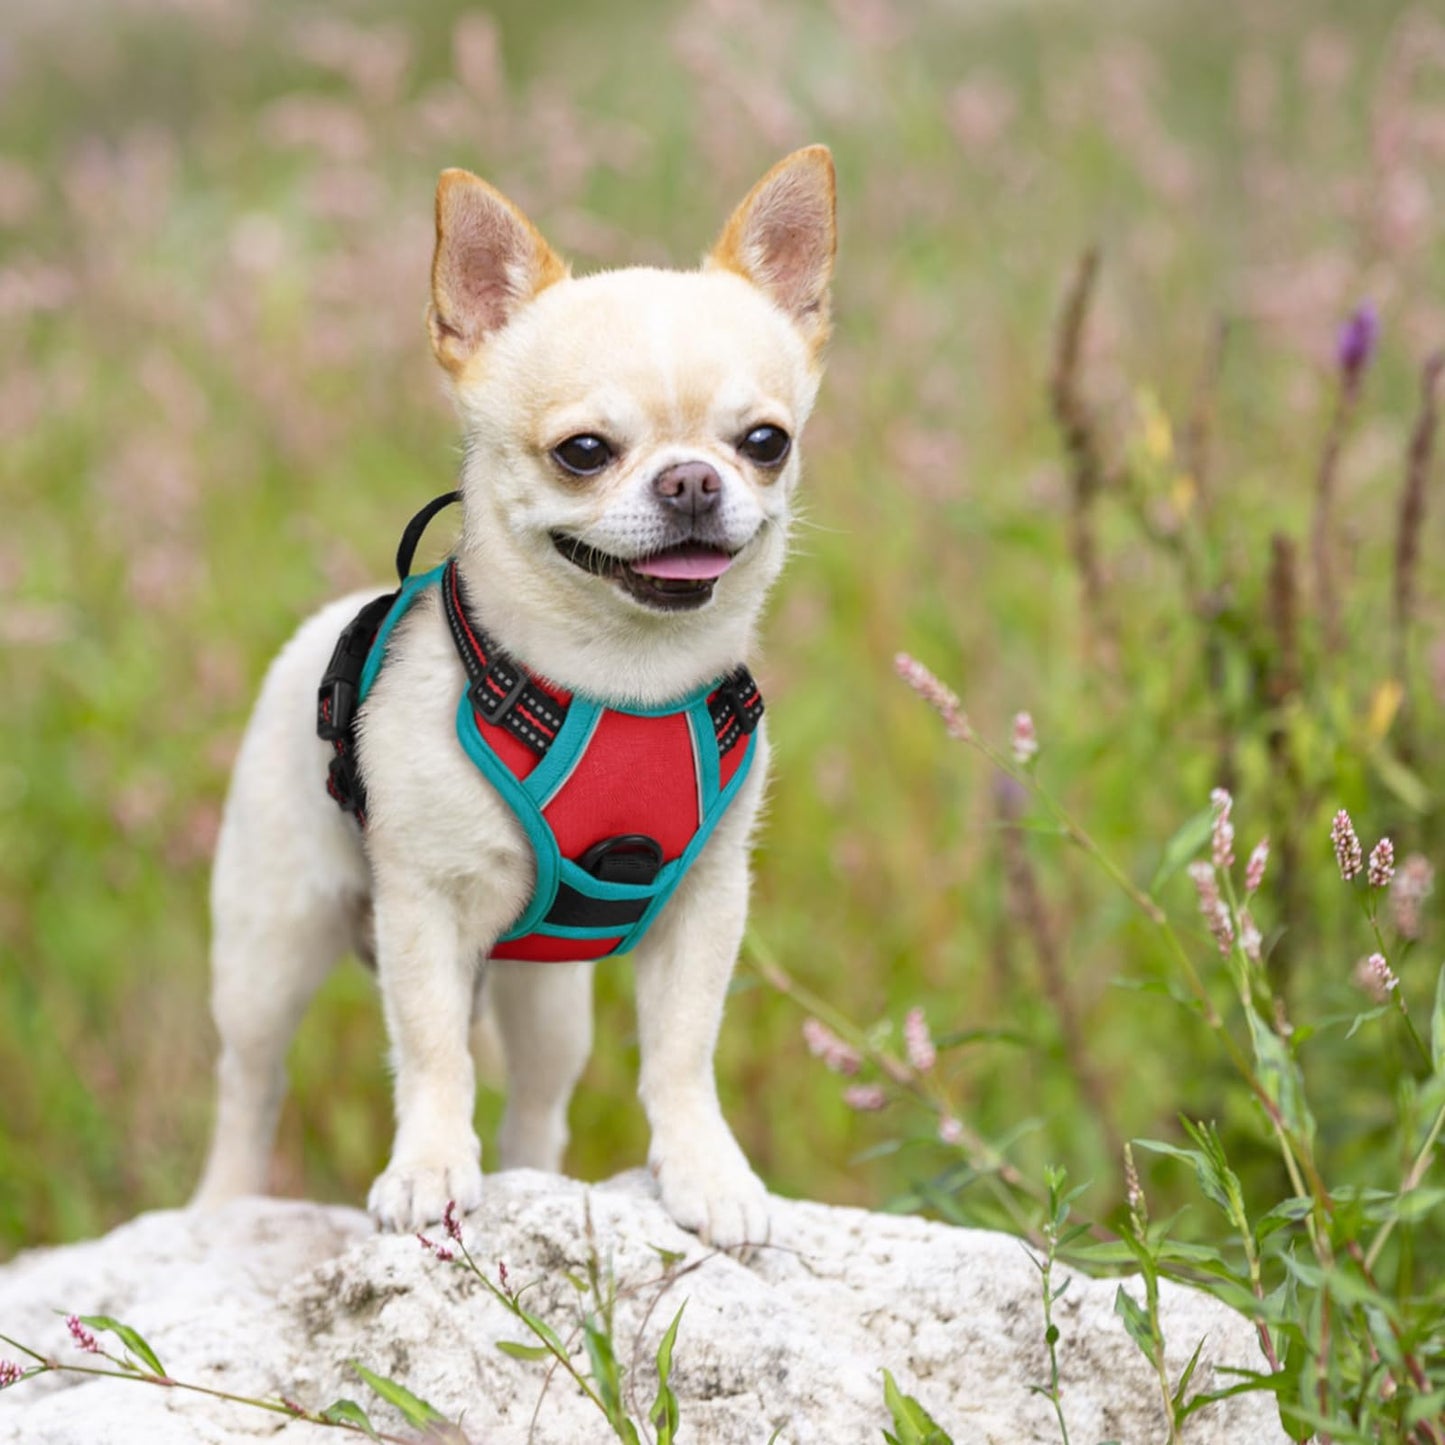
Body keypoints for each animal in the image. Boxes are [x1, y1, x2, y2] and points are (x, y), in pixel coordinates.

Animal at [197, 149, 843, 1254]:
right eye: (581, 451)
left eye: (765, 442)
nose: (690, 480)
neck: (616, 678)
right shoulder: (423, 909)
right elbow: (431, 1051)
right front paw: (427, 1167)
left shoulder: (705, 905)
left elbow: (682, 1049)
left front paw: (705, 1170)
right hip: (267, 948)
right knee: (250, 1080)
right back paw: (221, 1207)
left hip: (550, 990)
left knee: (537, 1102)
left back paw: (536, 1179)